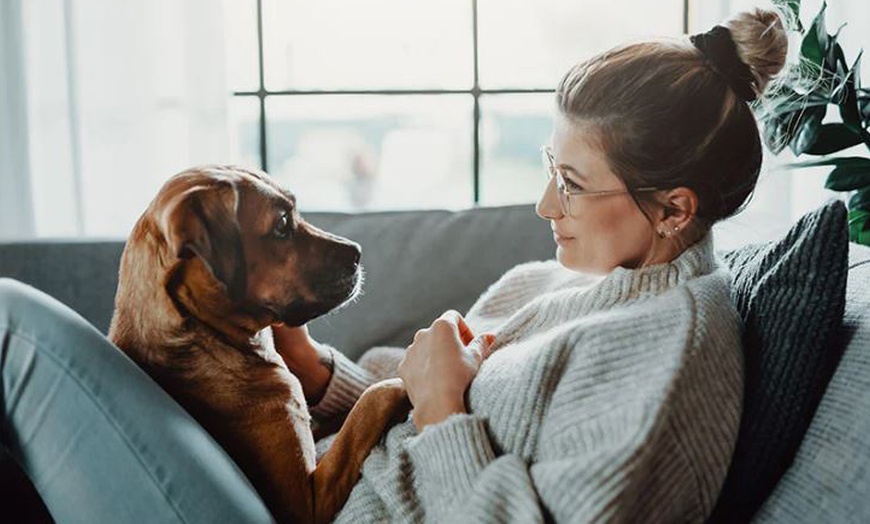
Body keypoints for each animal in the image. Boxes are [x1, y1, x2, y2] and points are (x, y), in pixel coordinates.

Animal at [110, 166, 412, 520]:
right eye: (281, 224)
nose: (358, 253)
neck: (207, 337)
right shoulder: (306, 502)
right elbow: (369, 403)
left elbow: (344, 416)